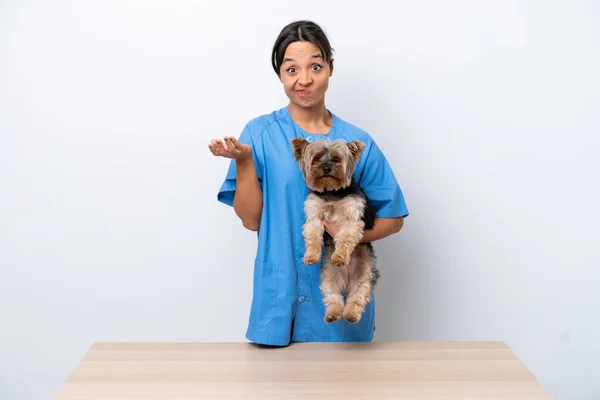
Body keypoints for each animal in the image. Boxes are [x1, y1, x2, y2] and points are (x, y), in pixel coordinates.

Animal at [290, 138, 380, 324]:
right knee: (333, 296)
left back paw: (351, 314)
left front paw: (339, 256)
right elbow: (313, 236)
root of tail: (346, 281)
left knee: (358, 296)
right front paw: (311, 256)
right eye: (317, 158)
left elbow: (345, 238)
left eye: (337, 159)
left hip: (365, 273)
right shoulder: (314, 215)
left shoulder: (352, 218)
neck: (330, 191)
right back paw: (333, 314)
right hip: (329, 276)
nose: (326, 168)